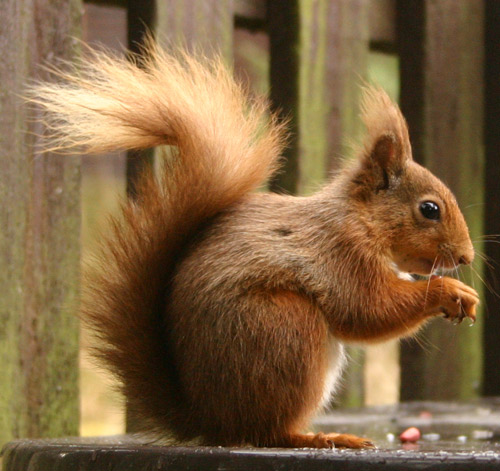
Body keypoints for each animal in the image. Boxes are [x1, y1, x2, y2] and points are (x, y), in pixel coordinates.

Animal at [29, 43, 478, 450]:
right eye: (429, 209)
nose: (466, 257)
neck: (361, 220)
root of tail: (211, 421)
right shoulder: (341, 254)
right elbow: (368, 310)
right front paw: (450, 292)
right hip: (286, 329)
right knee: (269, 433)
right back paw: (322, 437)